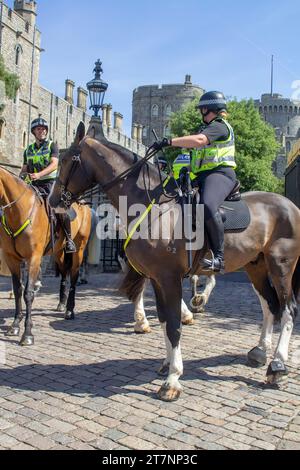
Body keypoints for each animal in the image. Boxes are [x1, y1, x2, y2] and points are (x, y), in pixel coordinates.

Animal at [0, 167, 91, 344]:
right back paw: (61, 303)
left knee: (74, 276)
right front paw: (15, 325)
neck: (19, 210)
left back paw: (69, 310)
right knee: (64, 273)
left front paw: (27, 333)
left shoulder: (33, 258)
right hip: (58, 252)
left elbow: (28, 293)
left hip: (79, 249)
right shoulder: (11, 258)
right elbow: (17, 290)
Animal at [48, 121, 298, 400]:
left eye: (68, 160)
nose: (53, 200)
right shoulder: (158, 279)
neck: (152, 207)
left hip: (281, 267)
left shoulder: (169, 278)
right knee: (270, 306)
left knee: (287, 310)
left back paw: (277, 365)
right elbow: (165, 319)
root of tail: (289, 205)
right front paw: (168, 363)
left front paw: (173, 380)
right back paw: (260, 352)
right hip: (256, 267)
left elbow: (174, 325)